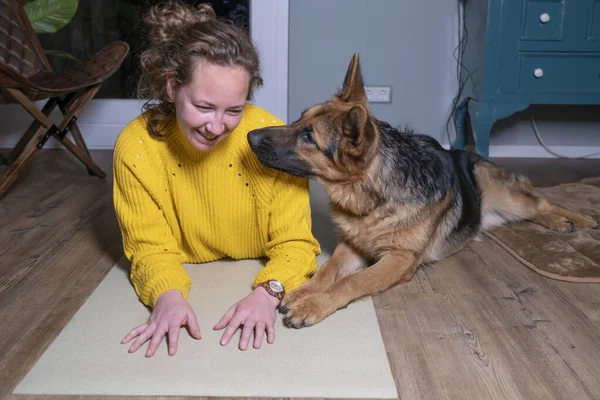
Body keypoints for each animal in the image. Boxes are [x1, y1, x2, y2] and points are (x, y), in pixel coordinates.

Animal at [245, 53, 600, 328]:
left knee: (541, 202)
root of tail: (469, 154)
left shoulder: (398, 260)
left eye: (308, 136)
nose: (250, 136)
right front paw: (303, 291)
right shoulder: (353, 246)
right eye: (298, 119)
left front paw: (314, 304)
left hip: (507, 196)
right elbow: (328, 270)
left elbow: (352, 281)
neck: (374, 199)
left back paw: (575, 220)